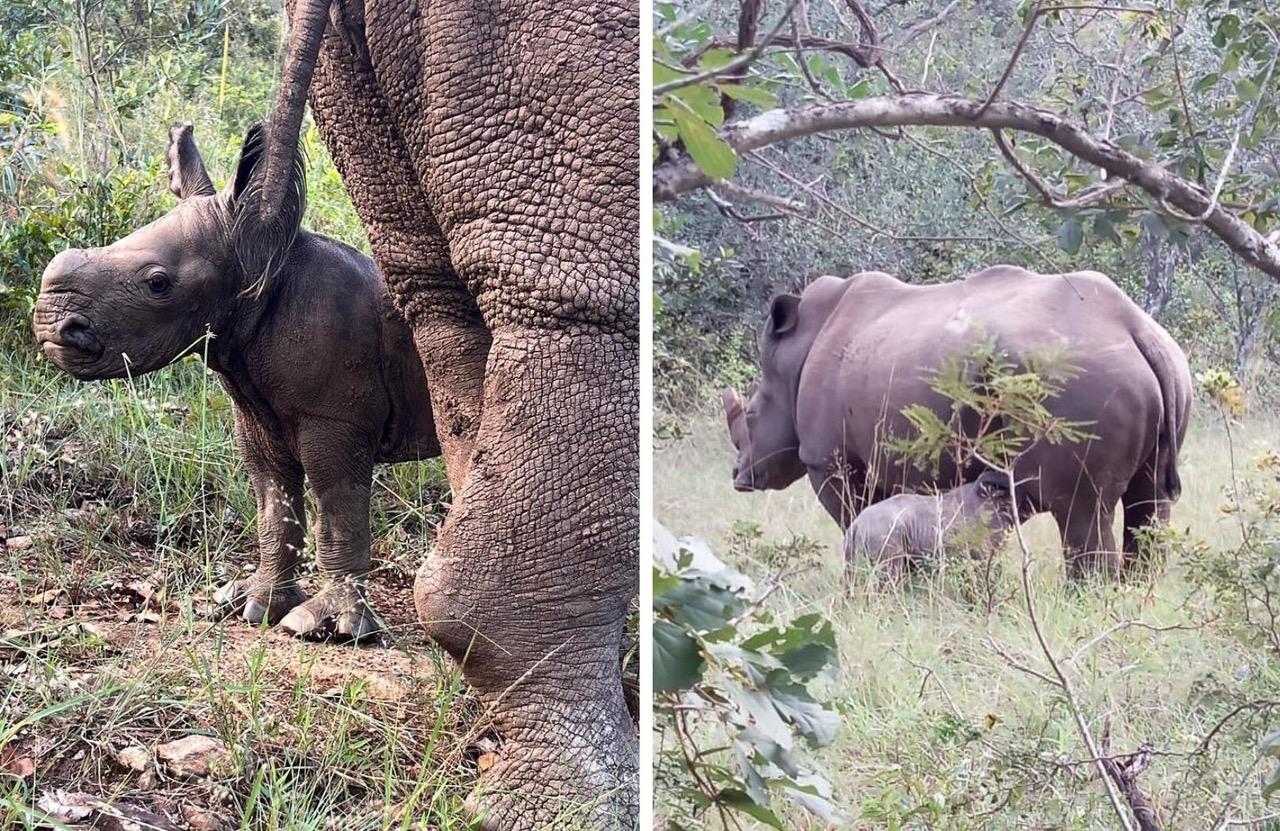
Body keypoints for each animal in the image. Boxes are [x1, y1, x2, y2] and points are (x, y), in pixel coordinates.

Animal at [33, 124, 440, 641]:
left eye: (158, 283)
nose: (51, 325)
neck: (260, 268)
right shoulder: (255, 412)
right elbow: (273, 508)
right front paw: (252, 606)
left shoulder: (334, 418)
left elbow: (338, 513)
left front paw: (331, 628)